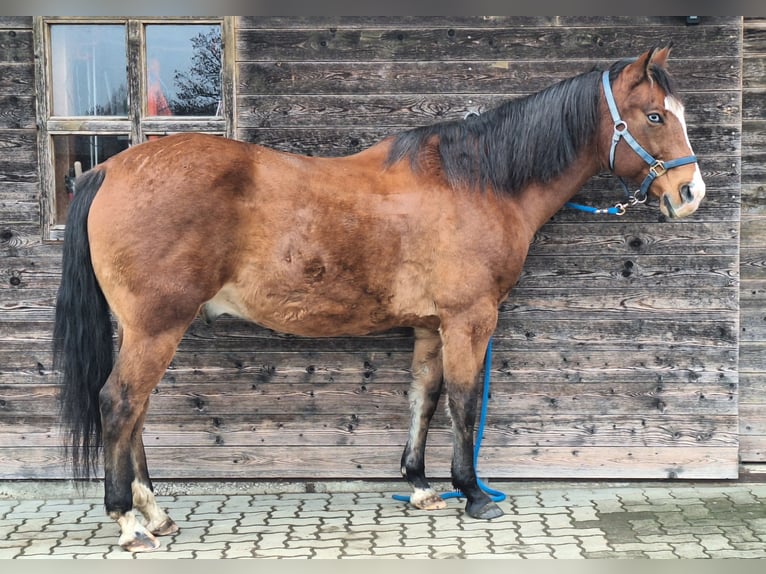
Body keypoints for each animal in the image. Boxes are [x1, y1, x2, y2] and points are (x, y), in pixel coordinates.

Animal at [53, 45, 705, 552]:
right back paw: (129, 522)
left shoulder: (430, 325)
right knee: (119, 404)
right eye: (653, 115)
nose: (690, 193)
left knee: (134, 411)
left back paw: (156, 513)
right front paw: (473, 493)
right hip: (157, 325)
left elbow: (424, 399)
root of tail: (108, 170)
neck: (479, 181)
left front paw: (419, 486)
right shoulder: (469, 320)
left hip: (142, 327)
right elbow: (464, 403)